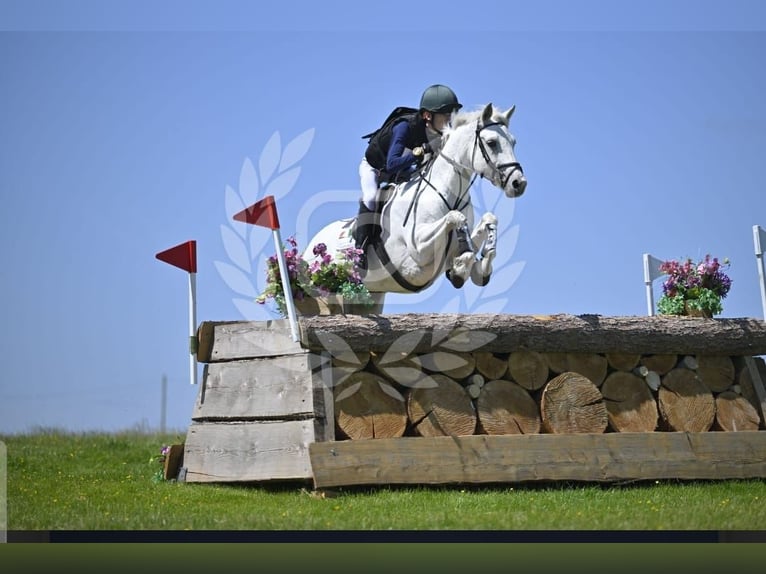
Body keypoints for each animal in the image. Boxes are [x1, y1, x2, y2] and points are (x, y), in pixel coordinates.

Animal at [306, 102, 528, 310]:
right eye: (491, 143)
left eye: (514, 142)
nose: (518, 183)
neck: (446, 192)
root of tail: (312, 245)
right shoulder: (418, 250)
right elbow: (456, 218)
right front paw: (460, 268)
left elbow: (488, 222)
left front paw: (476, 267)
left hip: (371, 296)